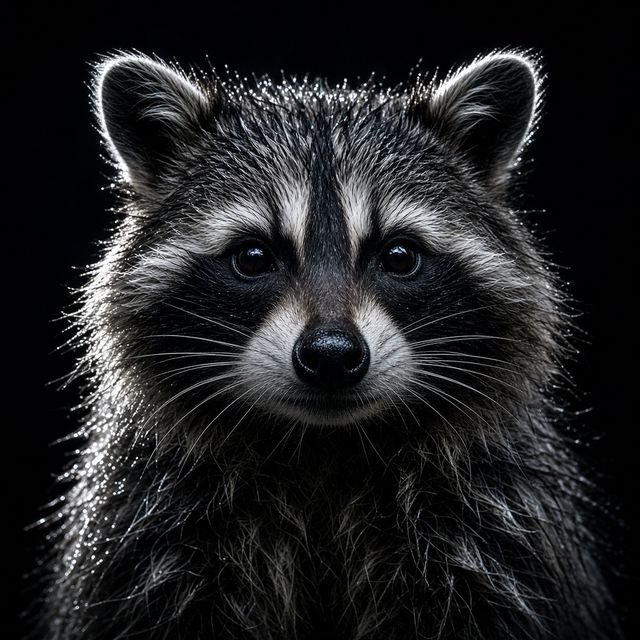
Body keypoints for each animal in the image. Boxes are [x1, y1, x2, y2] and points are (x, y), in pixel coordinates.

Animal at [41, 51, 617, 639]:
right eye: (253, 257)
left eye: (399, 256)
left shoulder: (497, 533)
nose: (332, 355)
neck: (323, 452)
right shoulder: (146, 535)